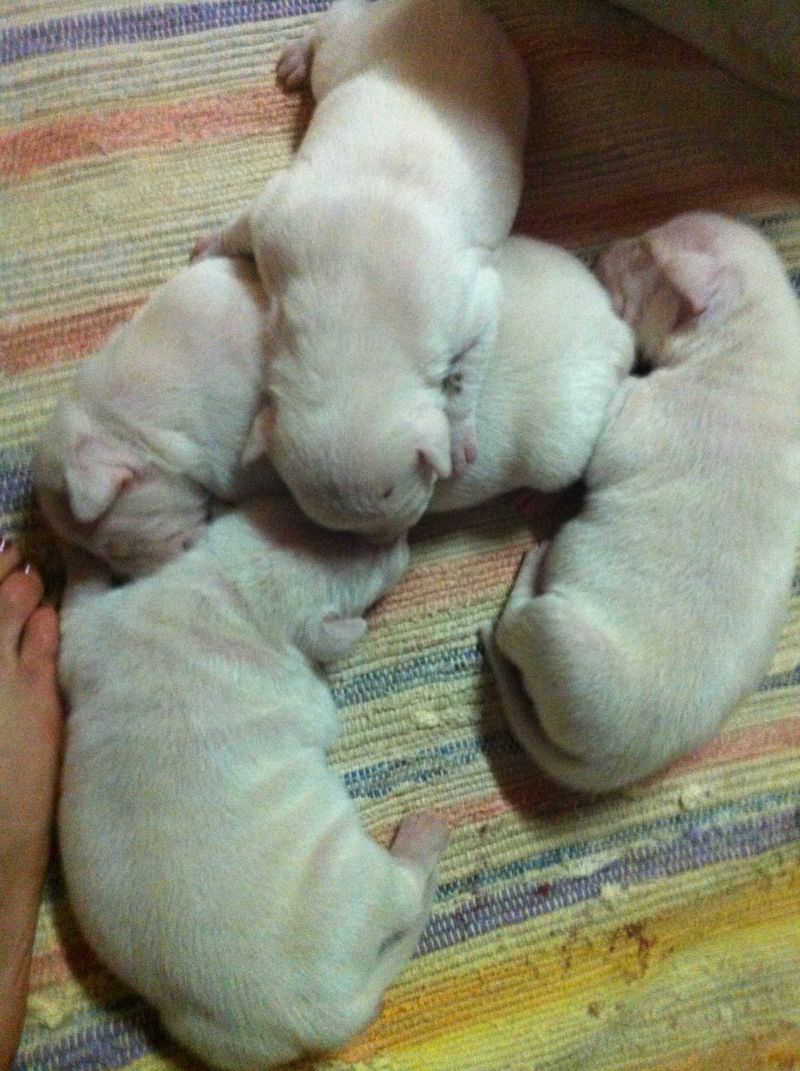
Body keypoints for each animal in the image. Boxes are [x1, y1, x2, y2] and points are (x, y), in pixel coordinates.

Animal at [61, 499, 449, 1071]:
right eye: (375, 562)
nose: (403, 535)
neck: (231, 594)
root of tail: (317, 1018)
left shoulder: (101, 627)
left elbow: (77, 609)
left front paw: (73, 555)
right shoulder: (307, 695)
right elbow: (322, 710)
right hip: (357, 880)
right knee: (402, 891)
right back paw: (424, 834)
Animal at [198, 0, 529, 539]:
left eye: (396, 489)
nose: (389, 541)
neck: (358, 322)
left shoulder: (471, 300)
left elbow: (467, 368)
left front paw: (460, 434)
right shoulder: (277, 219)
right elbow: (244, 224)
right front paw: (211, 244)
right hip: (347, 50)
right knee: (330, 26)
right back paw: (298, 55)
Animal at [484, 213, 800, 792]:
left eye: (646, 252)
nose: (598, 249)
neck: (755, 351)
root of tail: (614, 765)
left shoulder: (642, 414)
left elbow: (599, 449)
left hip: (565, 644)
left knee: (514, 631)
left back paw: (532, 568)